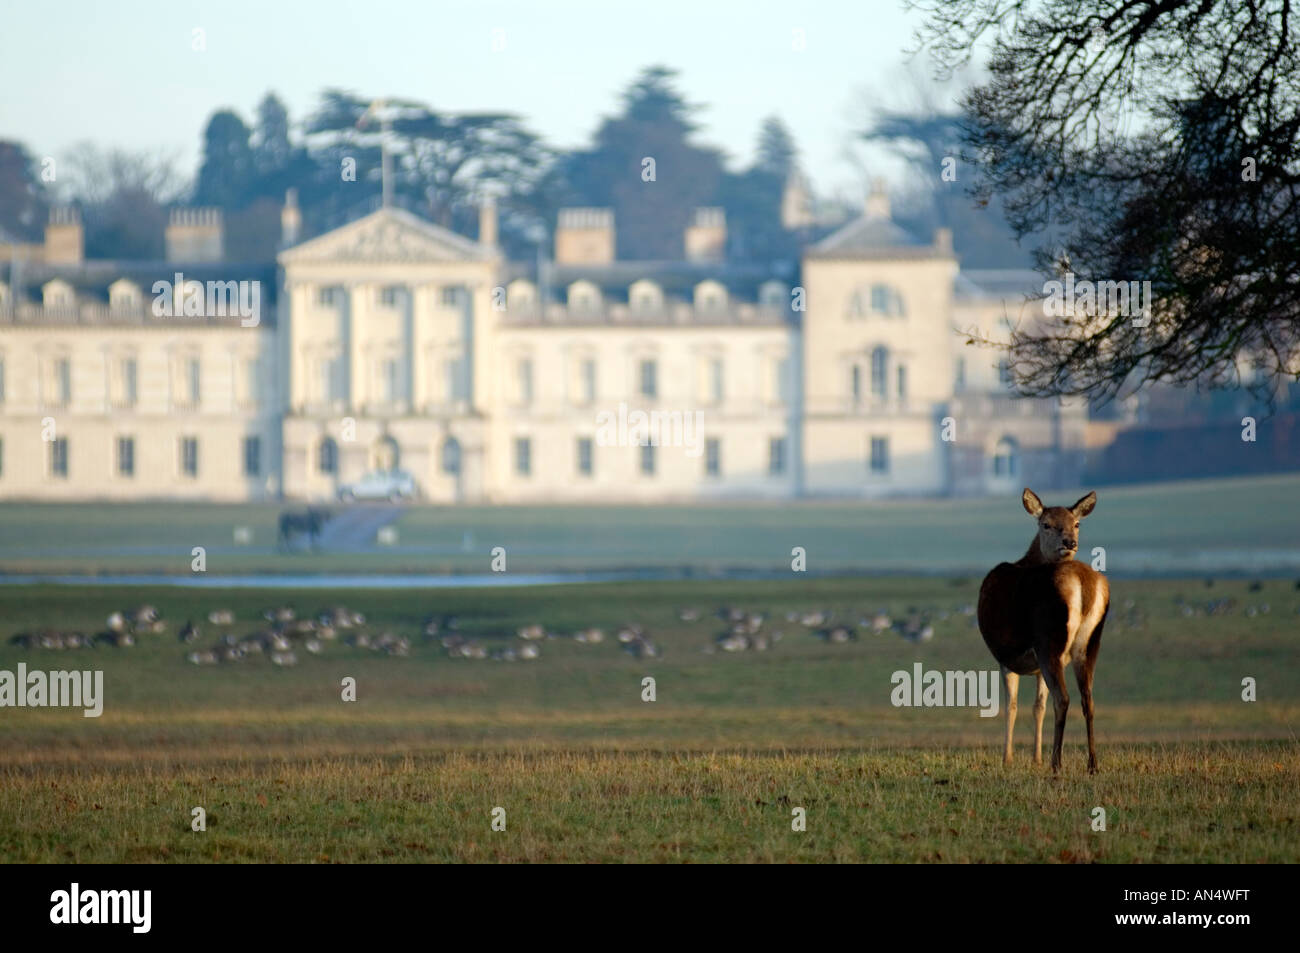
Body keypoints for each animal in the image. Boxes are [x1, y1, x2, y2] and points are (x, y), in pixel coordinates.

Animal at [977, 488, 1110, 774]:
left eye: (1077, 523)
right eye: (1046, 524)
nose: (1070, 542)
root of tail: (1084, 586)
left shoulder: (1007, 656)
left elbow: (1011, 705)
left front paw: (1008, 758)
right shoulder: (1037, 664)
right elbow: (1038, 706)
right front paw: (1035, 757)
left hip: (1049, 640)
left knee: (1064, 698)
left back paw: (1056, 763)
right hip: (1088, 644)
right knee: (1088, 699)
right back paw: (1092, 764)